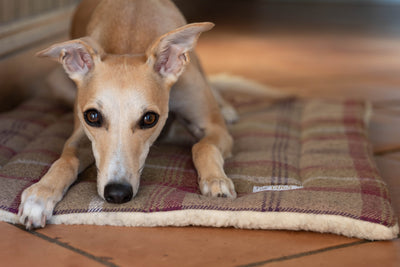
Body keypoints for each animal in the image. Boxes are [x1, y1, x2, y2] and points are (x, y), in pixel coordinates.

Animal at [18, 0, 238, 230]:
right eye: (92, 116)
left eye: (149, 118)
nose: (117, 193)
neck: (131, 38)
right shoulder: (80, 133)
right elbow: (66, 160)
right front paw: (39, 195)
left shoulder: (216, 129)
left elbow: (203, 146)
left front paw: (216, 181)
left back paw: (226, 108)